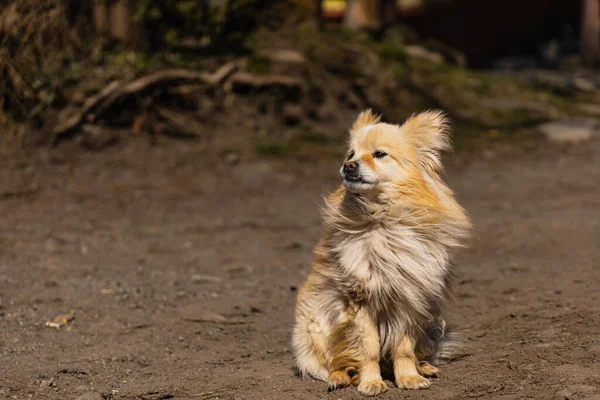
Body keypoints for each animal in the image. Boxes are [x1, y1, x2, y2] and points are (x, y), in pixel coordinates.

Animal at [292, 110, 472, 396]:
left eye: (379, 154)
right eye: (351, 154)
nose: (349, 166)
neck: (384, 219)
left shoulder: (409, 300)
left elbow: (404, 348)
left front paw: (409, 377)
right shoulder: (360, 302)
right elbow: (368, 349)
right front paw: (371, 382)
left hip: (432, 321)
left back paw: (425, 367)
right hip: (315, 324)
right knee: (335, 363)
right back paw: (339, 378)